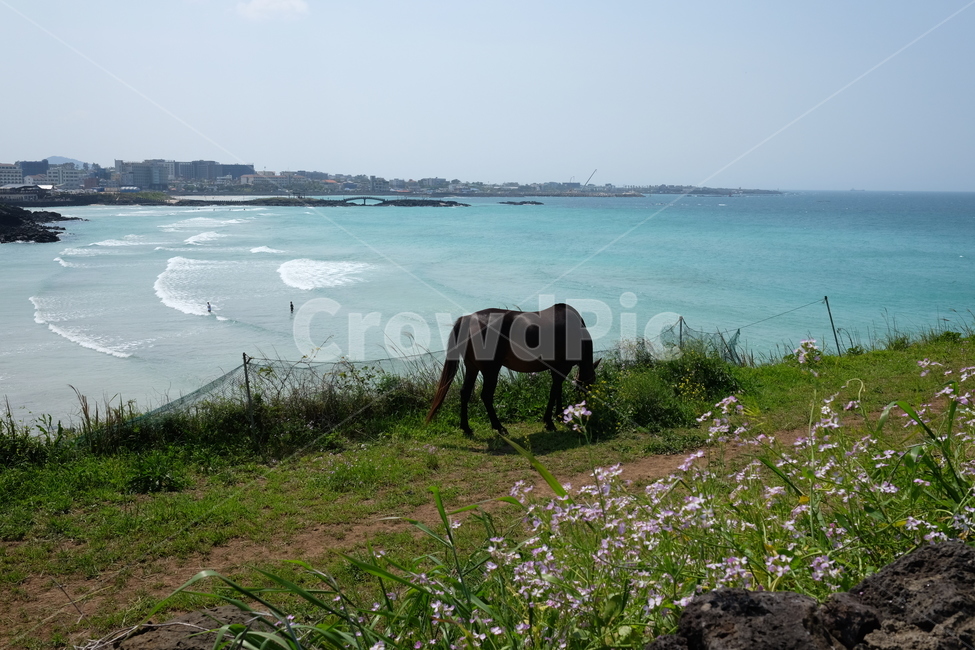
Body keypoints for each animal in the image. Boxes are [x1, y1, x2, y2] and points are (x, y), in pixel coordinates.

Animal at [425, 303, 597, 435]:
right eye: (591, 384)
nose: (588, 408)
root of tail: (468, 319)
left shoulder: (557, 369)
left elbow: (557, 390)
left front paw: (560, 415)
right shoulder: (563, 367)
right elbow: (554, 391)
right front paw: (550, 421)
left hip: (472, 368)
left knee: (465, 393)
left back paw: (466, 428)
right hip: (491, 370)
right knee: (486, 396)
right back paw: (499, 426)